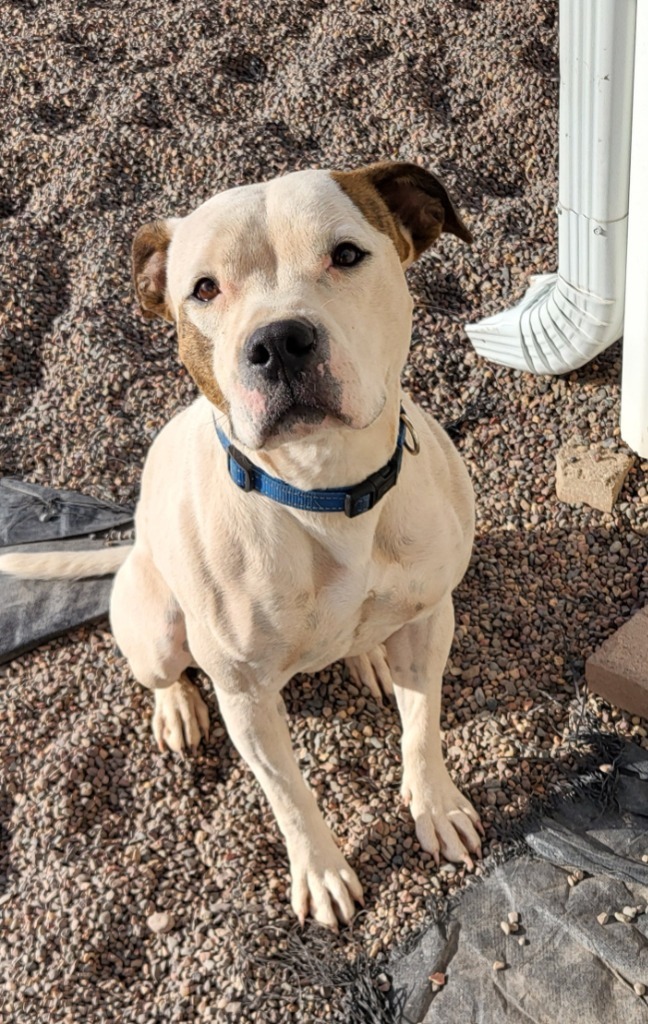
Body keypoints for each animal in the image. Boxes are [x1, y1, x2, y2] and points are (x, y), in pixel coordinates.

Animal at [1, 159, 481, 929]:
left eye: (347, 254)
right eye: (204, 288)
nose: (279, 341)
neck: (323, 491)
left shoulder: (431, 617)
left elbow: (422, 727)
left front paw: (434, 805)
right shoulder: (246, 695)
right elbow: (288, 793)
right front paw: (321, 873)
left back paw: (367, 657)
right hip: (156, 627)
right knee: (161, 670)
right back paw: (176, 708)